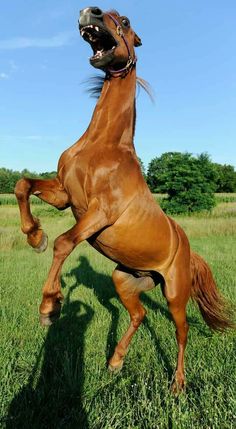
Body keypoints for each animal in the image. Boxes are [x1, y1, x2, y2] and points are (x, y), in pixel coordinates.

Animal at [15, 6, 234, 390]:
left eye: (126, 22)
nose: (90, 13)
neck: (102, 146)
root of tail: (188, 250)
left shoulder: (100, 212)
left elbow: (63, 243)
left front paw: (50, 308)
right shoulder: (64, 195)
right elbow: (23, 186)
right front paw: (34, 237)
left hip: (175, 294)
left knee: (182, 331)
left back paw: (177, 385)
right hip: (126, 280)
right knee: (140, 314)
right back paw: (115, 361)